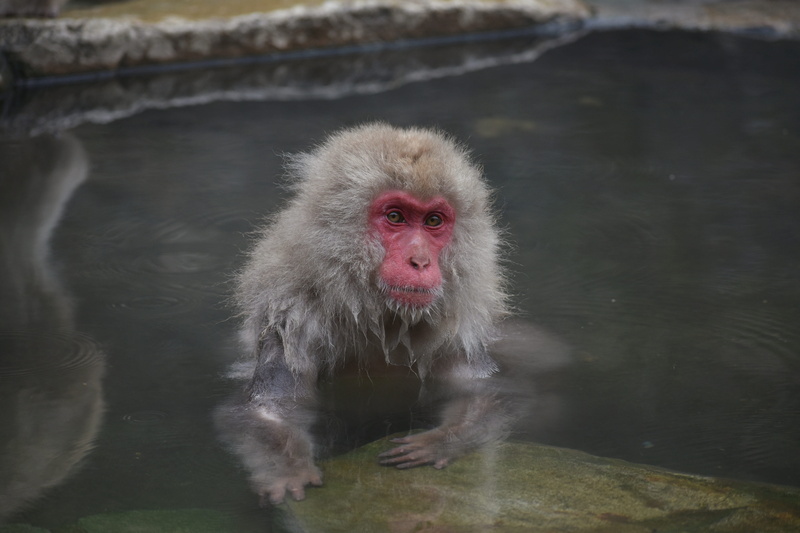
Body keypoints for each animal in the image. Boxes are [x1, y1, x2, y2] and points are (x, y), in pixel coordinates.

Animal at [214, 123, 510, 505]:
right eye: (395, 217)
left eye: (433, 221)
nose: (420, 261)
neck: (380, 314)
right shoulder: (290, 316)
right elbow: (269, 410)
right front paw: (286, 468)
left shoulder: (458, 328)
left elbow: (482, 394)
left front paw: (439, 442)